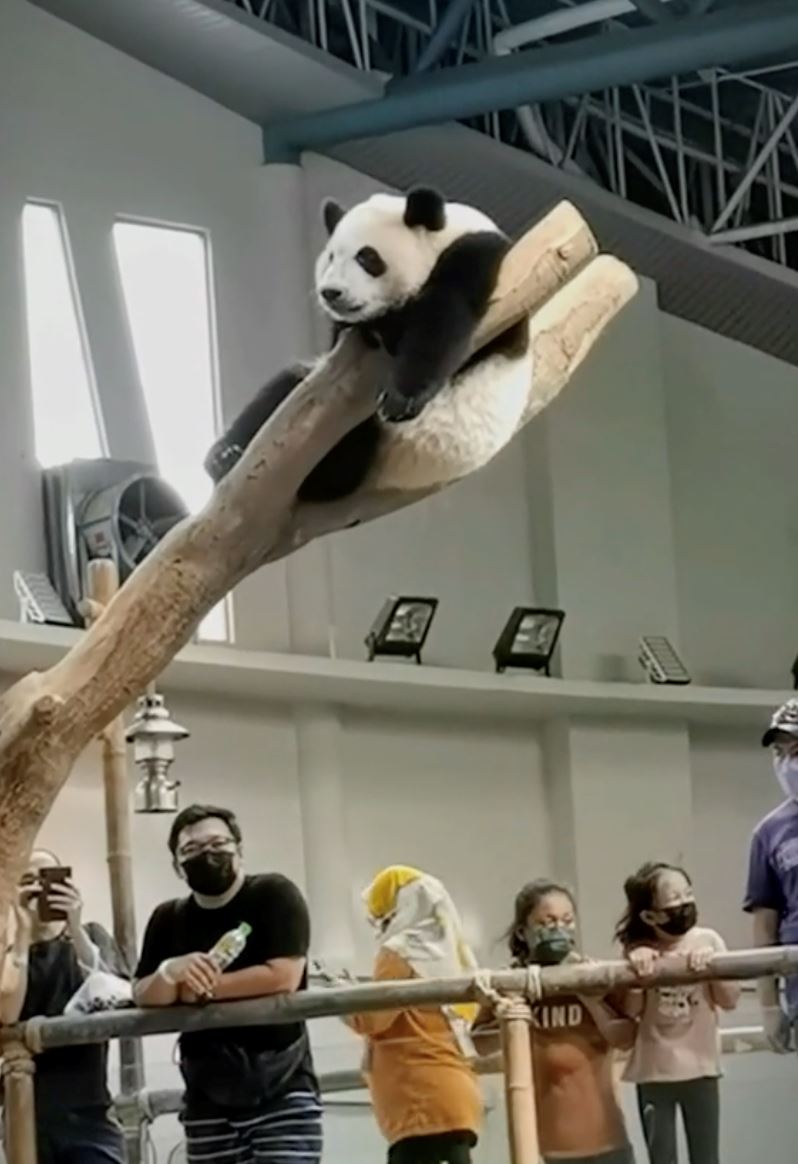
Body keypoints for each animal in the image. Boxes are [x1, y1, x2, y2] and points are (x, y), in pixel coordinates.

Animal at [204, 186, 533, 502]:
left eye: (367, 257)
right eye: (331, 257)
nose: (331, 293)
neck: (444, 235)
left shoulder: (477, 259)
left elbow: (442, 320)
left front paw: (400, 396)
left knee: (341, 466)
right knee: (285, 387)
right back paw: (224, 456)